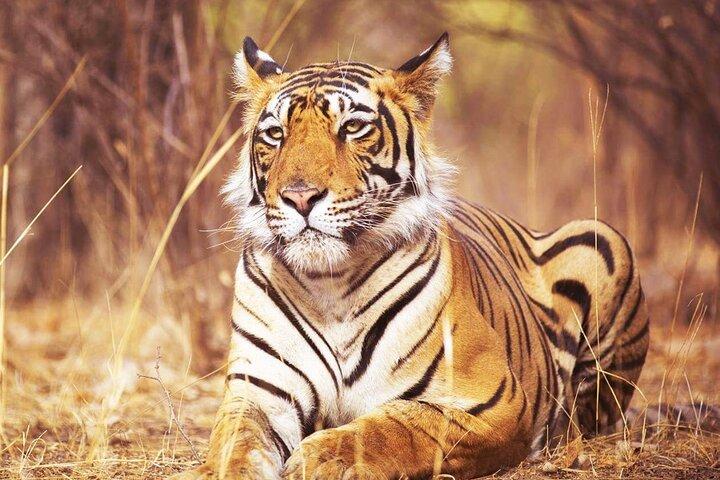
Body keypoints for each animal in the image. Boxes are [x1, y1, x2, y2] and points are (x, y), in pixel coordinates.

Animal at [172, 33, 650, 479]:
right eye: (276, 134)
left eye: (352, 128)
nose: (299, 197)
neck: (331, 284)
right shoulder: (260, 392)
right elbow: (237, 442)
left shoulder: (490, 396)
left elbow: (395, 426)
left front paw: (321, 456)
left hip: (602, 240)